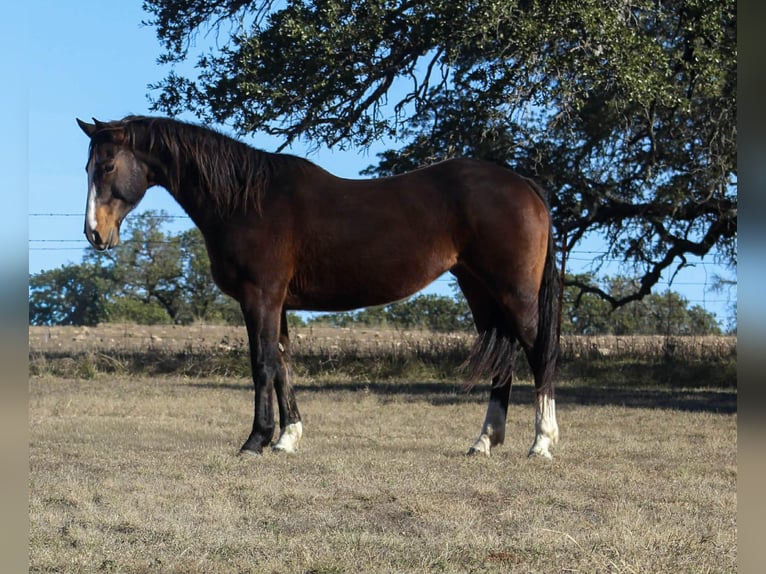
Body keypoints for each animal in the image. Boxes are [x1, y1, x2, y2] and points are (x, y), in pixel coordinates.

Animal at [77, 115, 561, 459]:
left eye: (107, 165)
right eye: (87, 167)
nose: (95, 234)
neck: (246, 199)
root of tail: (524, 184)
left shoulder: (260, 298)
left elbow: (262, 364)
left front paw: (256, 441)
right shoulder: (277, 304)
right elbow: (283, 363)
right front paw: (287, 438)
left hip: (514, 294)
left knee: (539, 352)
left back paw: (542, 442)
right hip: (481, 292)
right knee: (504, 359)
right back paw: (484, 441)